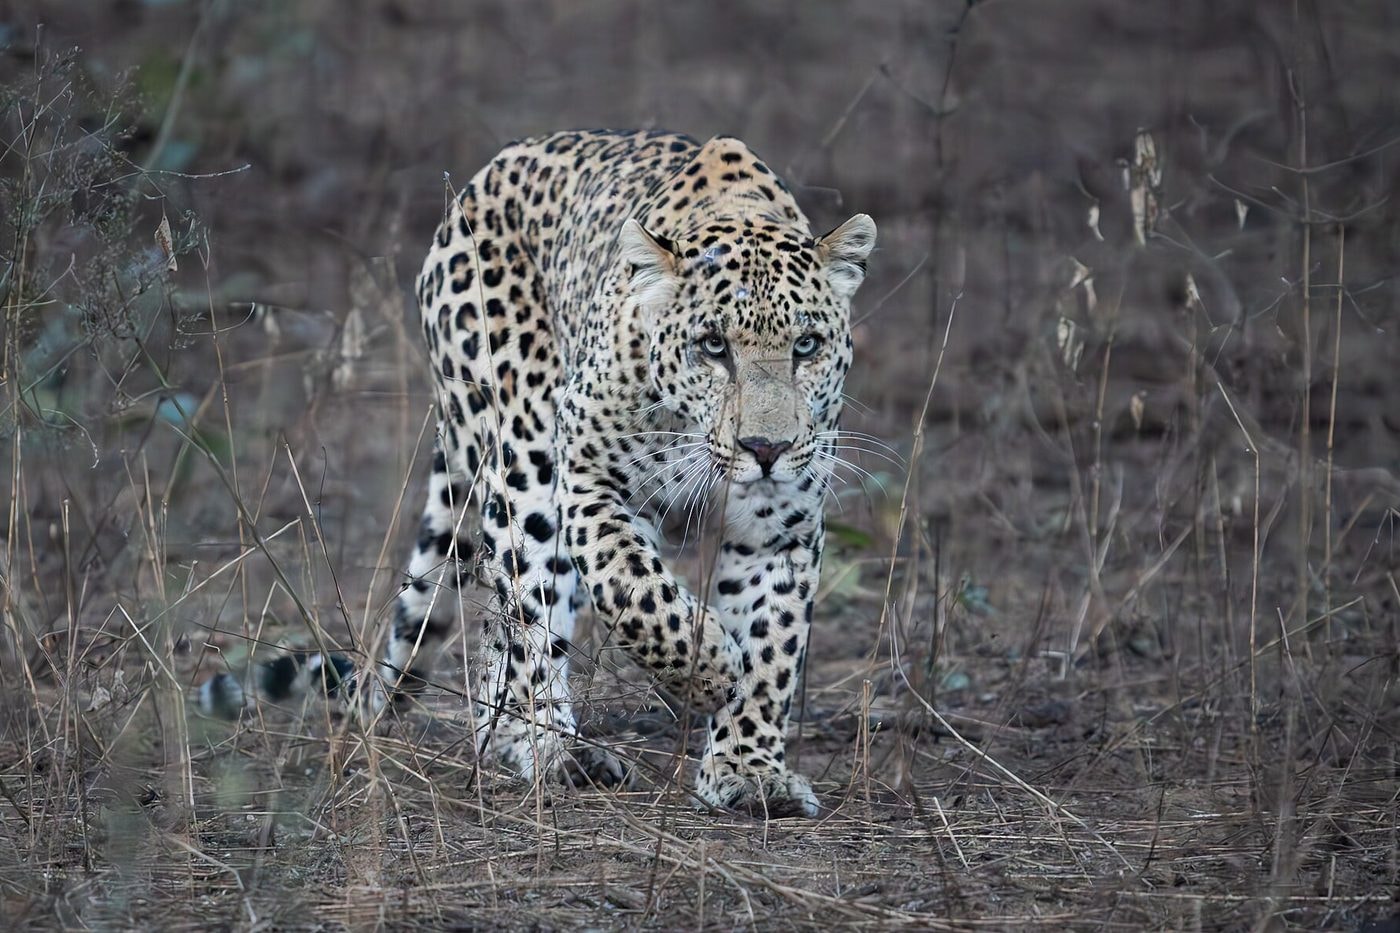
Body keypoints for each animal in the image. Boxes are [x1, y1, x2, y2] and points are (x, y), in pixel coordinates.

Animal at [200, 129, 876, 817]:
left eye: (806, 346)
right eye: (714, 347)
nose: (766, 446)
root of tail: (479, 180)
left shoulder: (784, 522)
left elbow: (772, 638)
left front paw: (749, 768)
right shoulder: (587, 477)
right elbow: (635, 591)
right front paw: (708, 669)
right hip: (522, 458)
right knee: (525, 617)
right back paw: (546, 745)